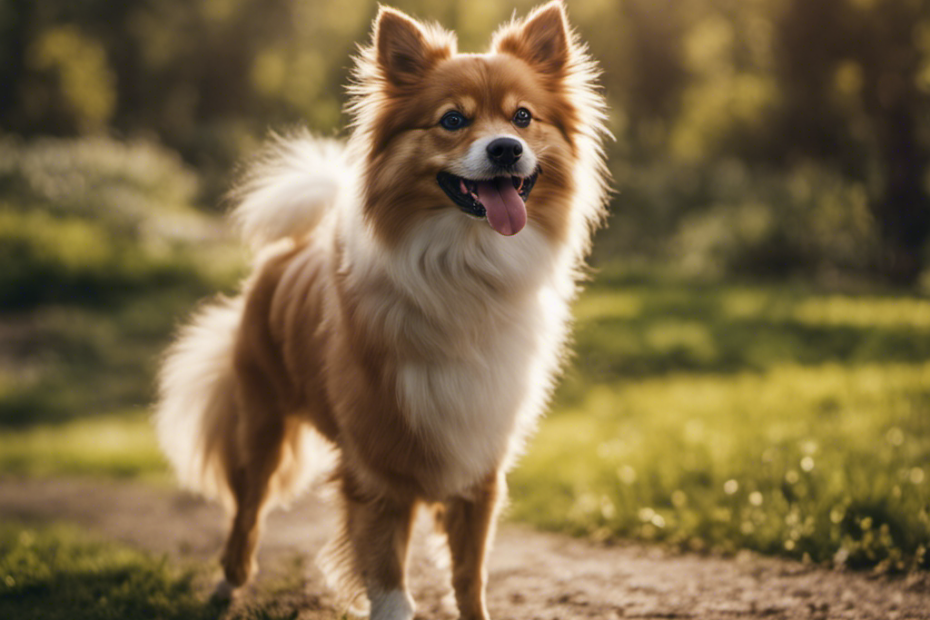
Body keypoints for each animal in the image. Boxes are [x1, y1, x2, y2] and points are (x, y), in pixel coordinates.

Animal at [158, 2, 608, 616]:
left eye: (522, 117)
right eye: (452, 120)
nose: (505, 149)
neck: (466, 266)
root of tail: (291, 249)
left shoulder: (477, 459)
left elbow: (469, 575)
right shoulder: (376, 470)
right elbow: (392, 587)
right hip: (261, 423)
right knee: (247, 509)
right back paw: (228, 582)